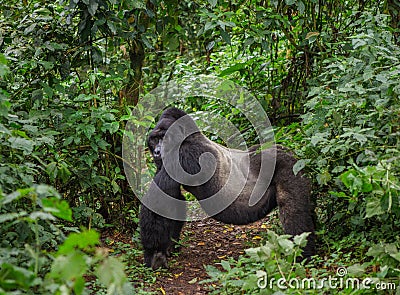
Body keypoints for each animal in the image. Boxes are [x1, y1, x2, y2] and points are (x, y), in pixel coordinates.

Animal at [141, 107, 316, 270]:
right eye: (154, 139)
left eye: (164, 138)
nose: (157, 152)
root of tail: (292, 154)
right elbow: (174, 200)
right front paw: (168, 247)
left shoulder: (184, 154)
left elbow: (161, 200)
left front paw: (154, 255)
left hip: (289, 166)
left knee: (293, 209)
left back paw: (301, 254)